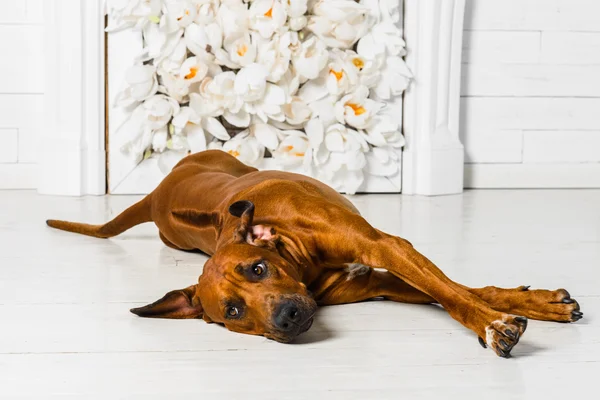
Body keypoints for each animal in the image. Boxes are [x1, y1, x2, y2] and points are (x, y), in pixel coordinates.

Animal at [47, 150, 580, 356]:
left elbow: (456, 292)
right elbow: (452, 291)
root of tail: (157, 194)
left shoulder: (386, 248)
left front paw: (506, 315)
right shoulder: (376, 281)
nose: (285, 318)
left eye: (258, 267)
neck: (297, 252)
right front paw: (514, 311)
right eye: (233, 313)